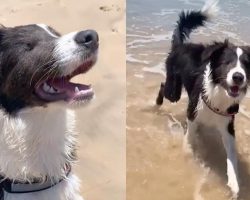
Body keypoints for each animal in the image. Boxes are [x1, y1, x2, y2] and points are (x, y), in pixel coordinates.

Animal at [155, 0, 250, 197]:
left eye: (246, 65)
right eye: (227, 63)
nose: (238, 77)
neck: (219, 93)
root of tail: (181, 45)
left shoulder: (228, 126)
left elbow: (231, 158)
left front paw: (234, 184)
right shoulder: (192, 112)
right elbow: (190, 138)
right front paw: (188, 153)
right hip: (173, 91)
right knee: (162, 87)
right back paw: (157, 105)